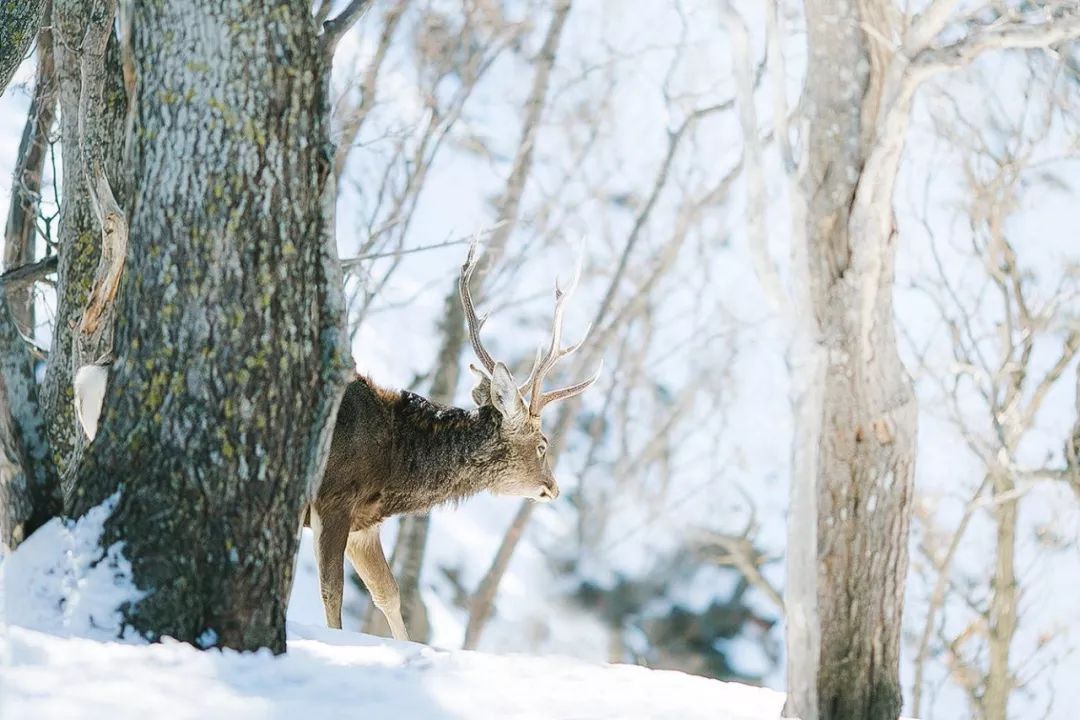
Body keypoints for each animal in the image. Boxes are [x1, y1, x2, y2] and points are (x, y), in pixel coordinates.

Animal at [306, 243, 600, 643]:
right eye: (543, 444)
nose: (553, 487)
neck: (390, 467)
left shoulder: (363, 525)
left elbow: (389, 594)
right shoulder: (333, 499)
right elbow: (331, 590)